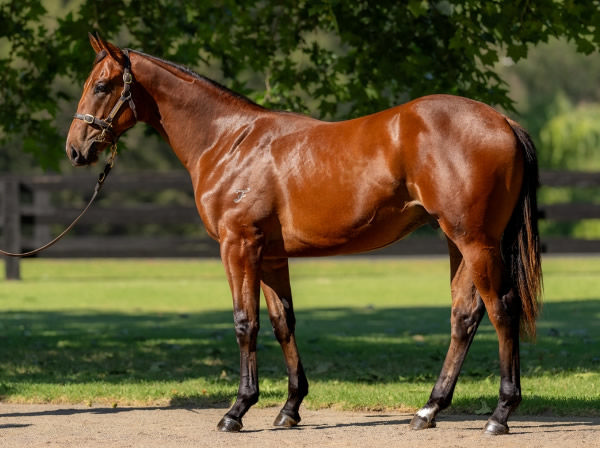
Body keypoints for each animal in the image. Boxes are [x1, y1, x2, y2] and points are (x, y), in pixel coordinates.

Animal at [67, 35, 544, 434]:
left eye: (103, 85)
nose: (75, 149)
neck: (229, 142)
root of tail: (502, 120)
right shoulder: (270, 255)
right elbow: (283, 323)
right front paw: (290, 408)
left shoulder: (238, 246)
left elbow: (245, 322)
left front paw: (236, 411)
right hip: (457, 241)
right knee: (464, 316)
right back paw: (428, 410)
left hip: (475, 241)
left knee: (501, 310)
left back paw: (500, 415)